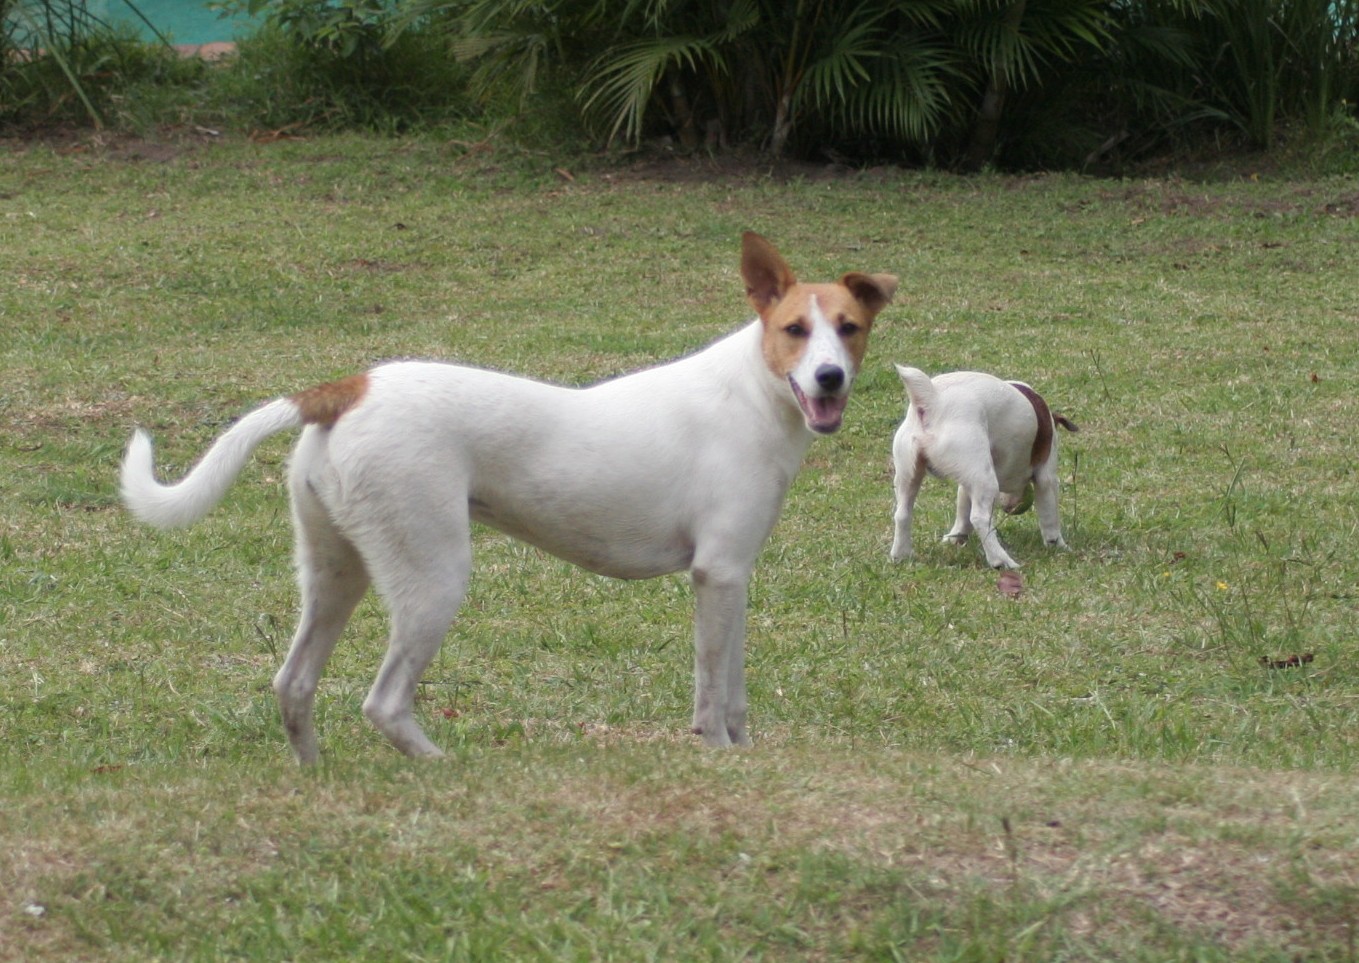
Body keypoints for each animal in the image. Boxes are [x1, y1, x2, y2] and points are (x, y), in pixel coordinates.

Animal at [122, 230, 896, 760]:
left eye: (849, 329)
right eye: (794, 330)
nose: (828, 378)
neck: (754, 390)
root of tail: (350, 387)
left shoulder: (731, 577)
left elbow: (733, 686)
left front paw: (739, 751)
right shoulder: (718, 574)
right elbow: (711, 691)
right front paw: (715, 753)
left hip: (335, 572)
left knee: (293, 683)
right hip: (432, 576)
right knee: (383, 702)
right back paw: (439, 762)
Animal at [886, 364, 1076, 567]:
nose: (1010, 508)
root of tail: (933, 401)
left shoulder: (968, 481)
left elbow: (963, 509)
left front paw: (956, 537)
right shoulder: (1046, 476)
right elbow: (1049, 516)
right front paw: (1058, 545)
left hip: (909, 473)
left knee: (902, 513)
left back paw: (901, 554)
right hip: (985, 479)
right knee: (979, 518)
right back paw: (1001, 560)